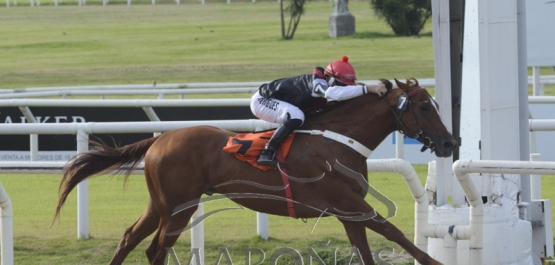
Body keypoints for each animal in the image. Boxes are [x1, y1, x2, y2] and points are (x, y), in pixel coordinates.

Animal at [55, 77, 456, 262]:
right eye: (424, 107)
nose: (450, 143)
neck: (338, 139)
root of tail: (159, 140)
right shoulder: (348, 201)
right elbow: (393, 232)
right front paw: (430, 260)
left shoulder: (348, 211)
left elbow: (367, 250)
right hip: (180, 207)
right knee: (155, 249)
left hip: (161, 204)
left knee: (130, 238)